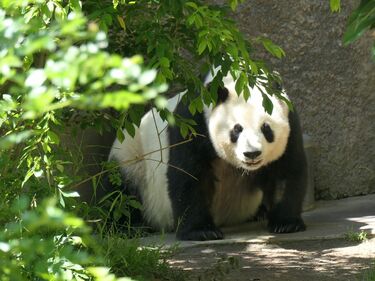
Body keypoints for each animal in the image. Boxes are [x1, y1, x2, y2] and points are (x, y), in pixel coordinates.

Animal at [107, 72, 306, 241]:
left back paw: (260, 213)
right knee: (120, 190)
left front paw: (285, 223)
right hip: (132, 151)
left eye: (266, 129)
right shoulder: (191, 121)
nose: (252, 154)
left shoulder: (290, 121)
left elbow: (286, 171)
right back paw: (130, 228)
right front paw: (201, 231)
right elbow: (190, 176)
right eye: (237, 129)